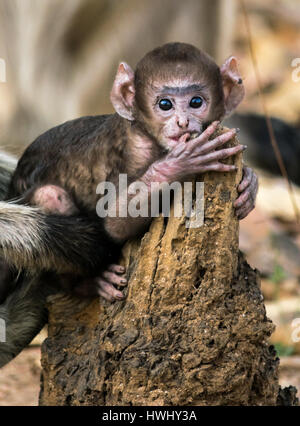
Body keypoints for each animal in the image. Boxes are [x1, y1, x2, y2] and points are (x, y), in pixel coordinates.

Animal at [0, 40, 258, 366]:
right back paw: (91, 281)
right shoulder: (133, 154)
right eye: (165, 105)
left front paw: (249, 186)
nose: (183, 121)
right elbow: (115, 222)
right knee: (50, 197)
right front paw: (178, 164)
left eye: (196, 101)